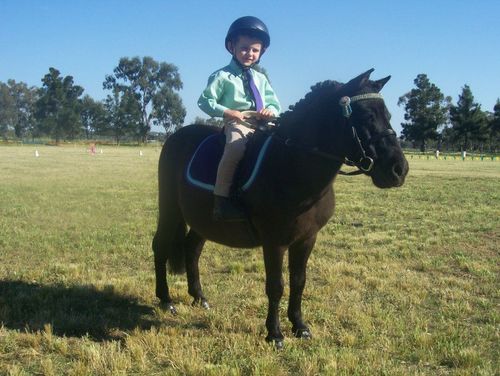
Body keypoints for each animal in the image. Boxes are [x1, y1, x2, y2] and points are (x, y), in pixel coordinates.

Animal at [153, 68, 410, 346]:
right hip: (169, 208)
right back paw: (166, 300)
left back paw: (199, 297)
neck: (291, 164)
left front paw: (300, 326)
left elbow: (299, 282)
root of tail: (177, 136)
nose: (399, 169)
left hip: (204, 220)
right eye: (365, 116)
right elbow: (276, 286)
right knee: (160, 245)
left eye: (388, 116)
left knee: (192, 249)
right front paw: (275, 333)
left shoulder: (307, 239)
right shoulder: (274, 241)